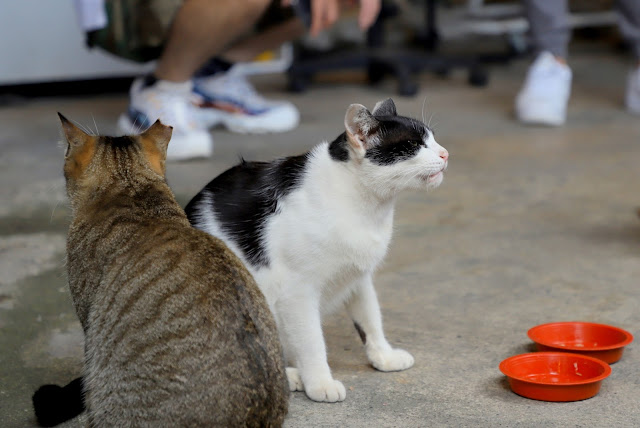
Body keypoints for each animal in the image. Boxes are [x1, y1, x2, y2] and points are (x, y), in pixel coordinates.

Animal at [182, 98, 448, 402]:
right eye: (414, 145)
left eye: (432, 138)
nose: (445, 154)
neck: (367, 207)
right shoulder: (297, 292)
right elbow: (311, 341)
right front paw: (320, 383)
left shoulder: (358, 278)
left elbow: (370, 318)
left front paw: (384, 356)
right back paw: (290, 376)